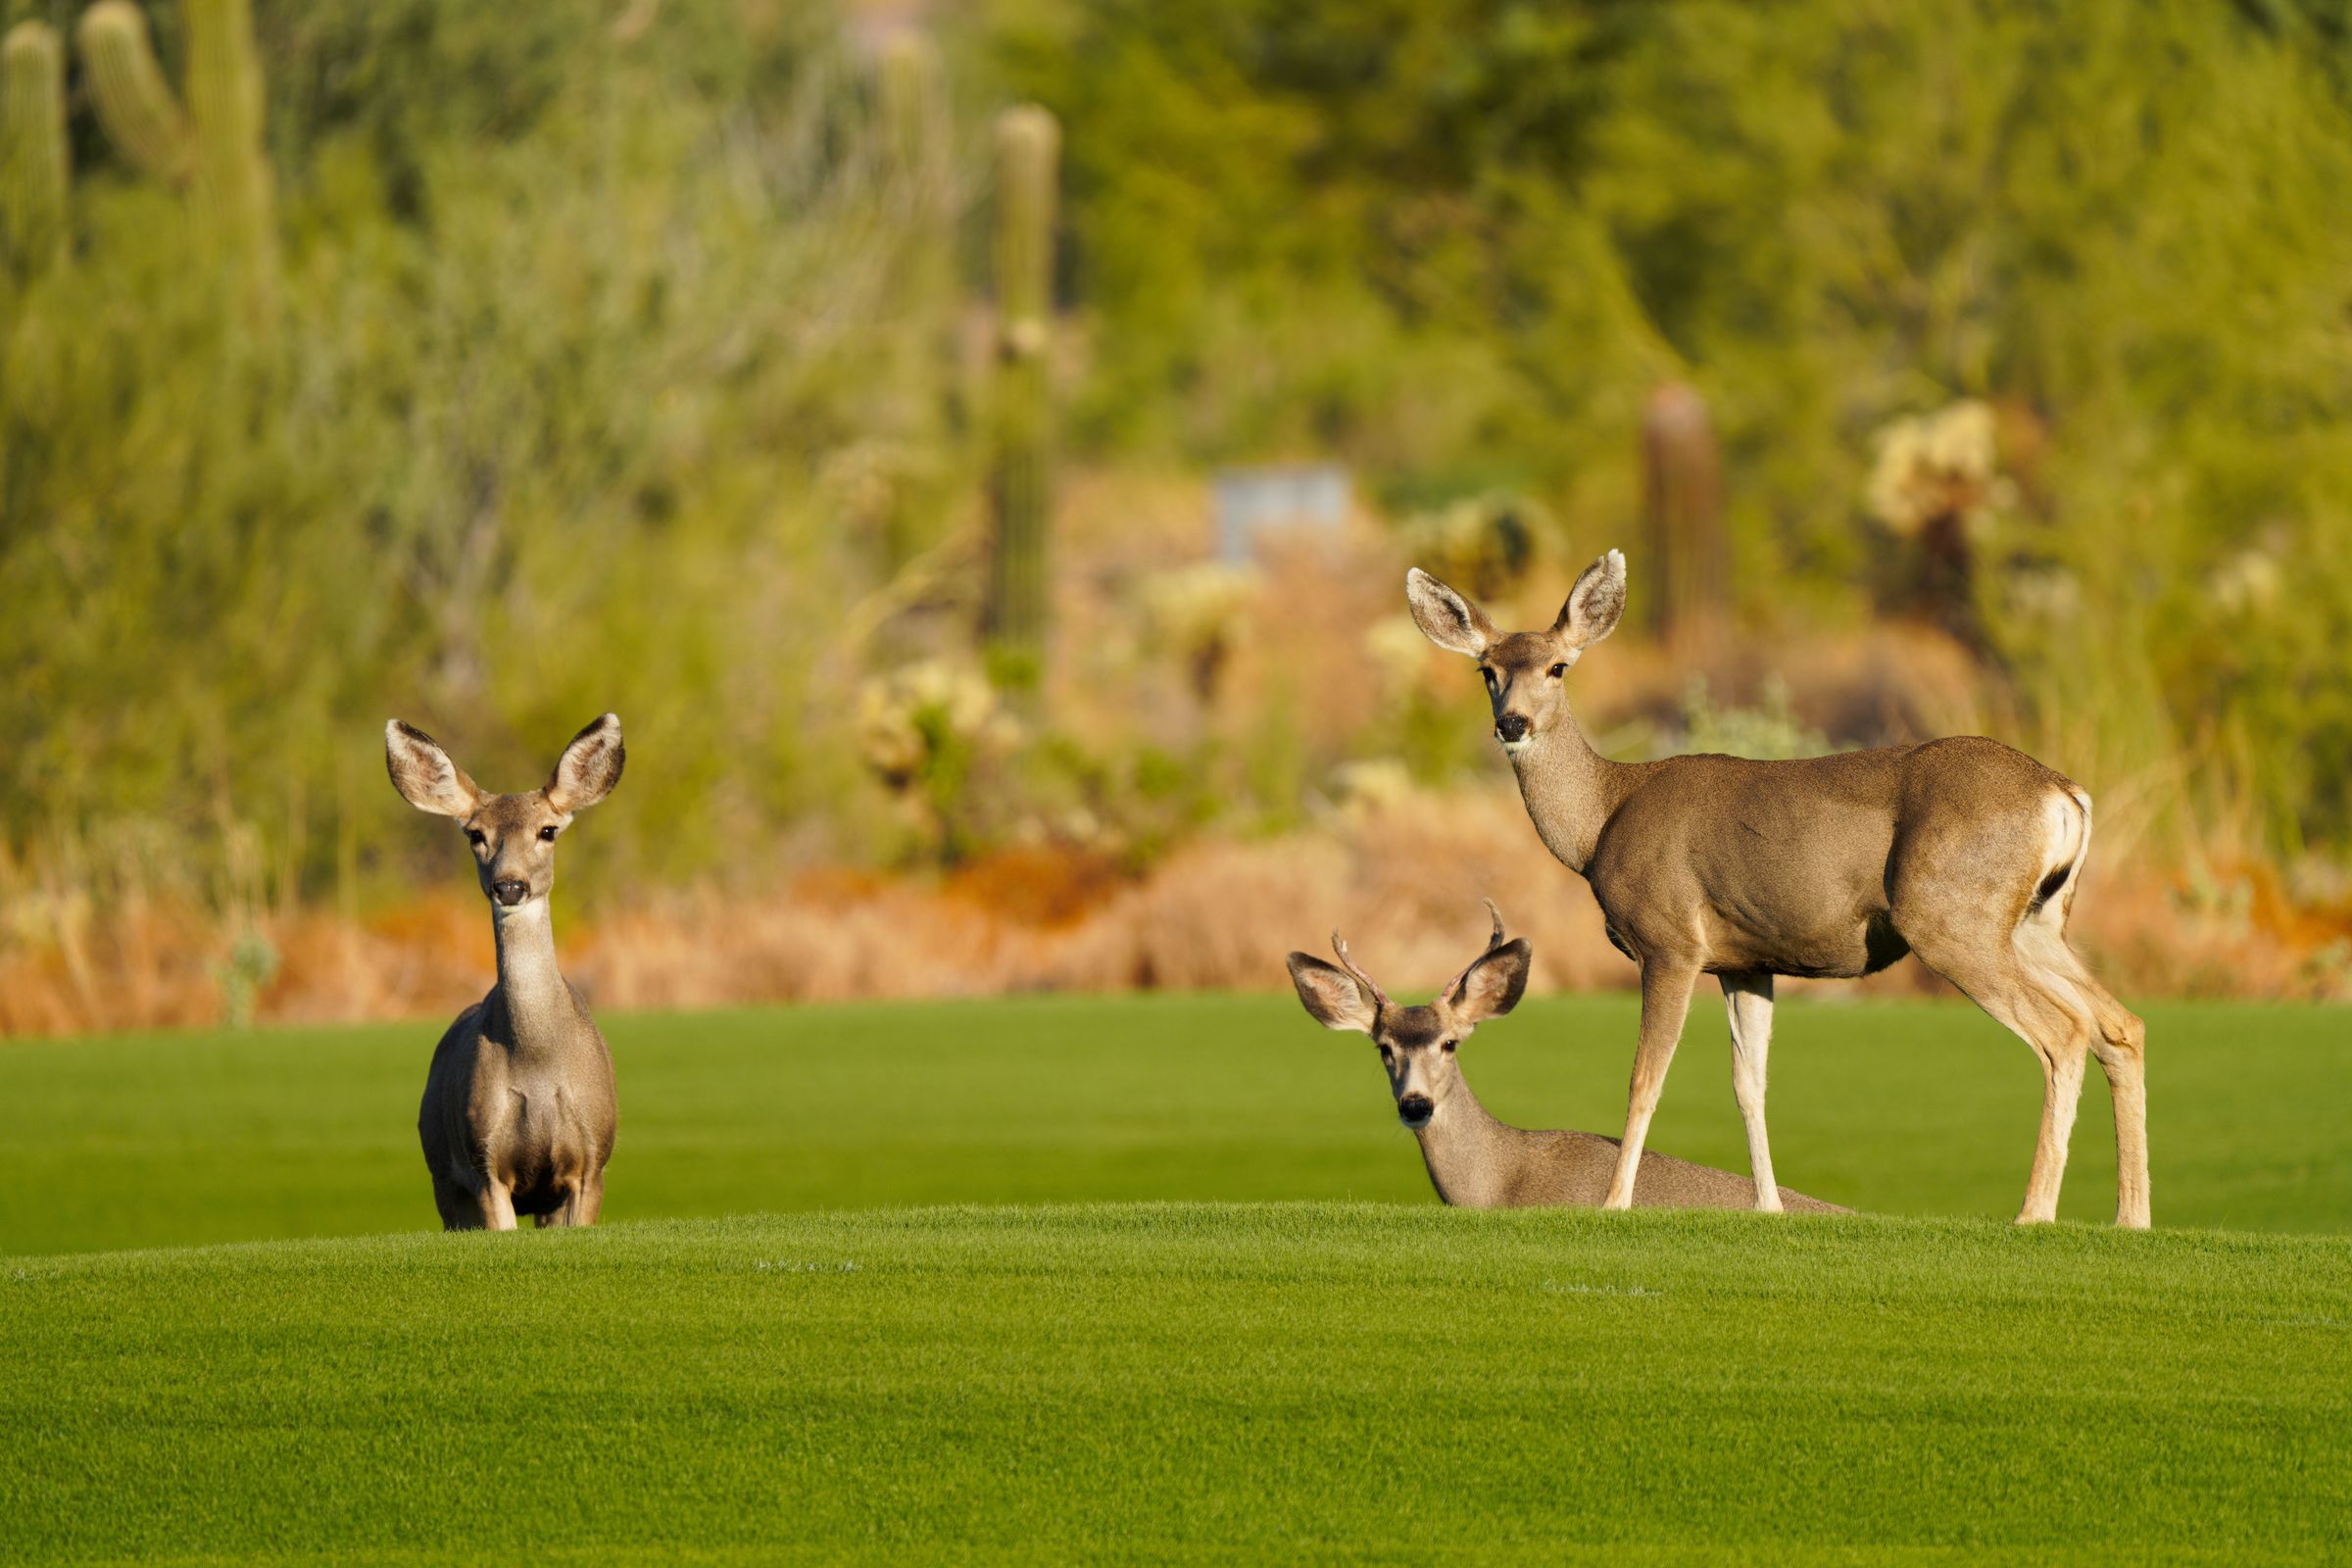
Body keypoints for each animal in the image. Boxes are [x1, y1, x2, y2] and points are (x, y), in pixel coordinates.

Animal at [385, 719, 625, 1231]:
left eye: (548, 830)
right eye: (476, 834)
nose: (510, 885)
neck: (536, 1060)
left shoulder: (592, 1162)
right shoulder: (484, 1167)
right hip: (444, 1180)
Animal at [1392, 557, 2154, 1231]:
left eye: (1558, 667)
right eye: (1486, 671)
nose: (1511, 724)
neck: (1602, 820)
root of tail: (2065, 794)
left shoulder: (1670, 941)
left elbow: (1645, 1078)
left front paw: (1613, 1204)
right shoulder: (1746, 960)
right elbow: (1749, 1085)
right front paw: (1767, 1208)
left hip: (1950, 915)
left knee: (2063, 1033)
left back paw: (2036, 1213)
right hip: (2036, 921)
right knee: (2120, 1024)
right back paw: (2131, 1216)